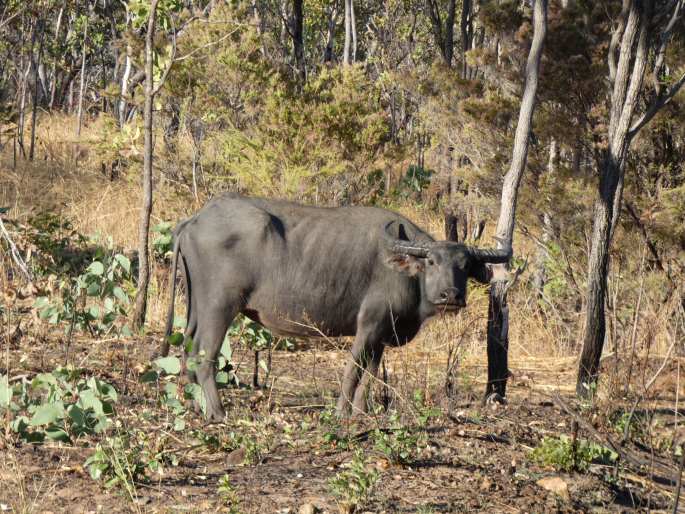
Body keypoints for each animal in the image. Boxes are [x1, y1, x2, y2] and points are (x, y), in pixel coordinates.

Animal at [159, 193, 508, 420]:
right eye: (432, 261)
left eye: (465, 265)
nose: (451, 295)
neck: (405, 271)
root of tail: (195, 220)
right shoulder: (368, 326)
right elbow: (353, 370)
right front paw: (341, 413)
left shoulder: (382, 334)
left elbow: (370, 376)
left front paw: (361, 413)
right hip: (220, 306)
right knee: (204, 355)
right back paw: (217, 412)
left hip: (196, 306)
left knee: (187, 349)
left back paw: (195, 406)